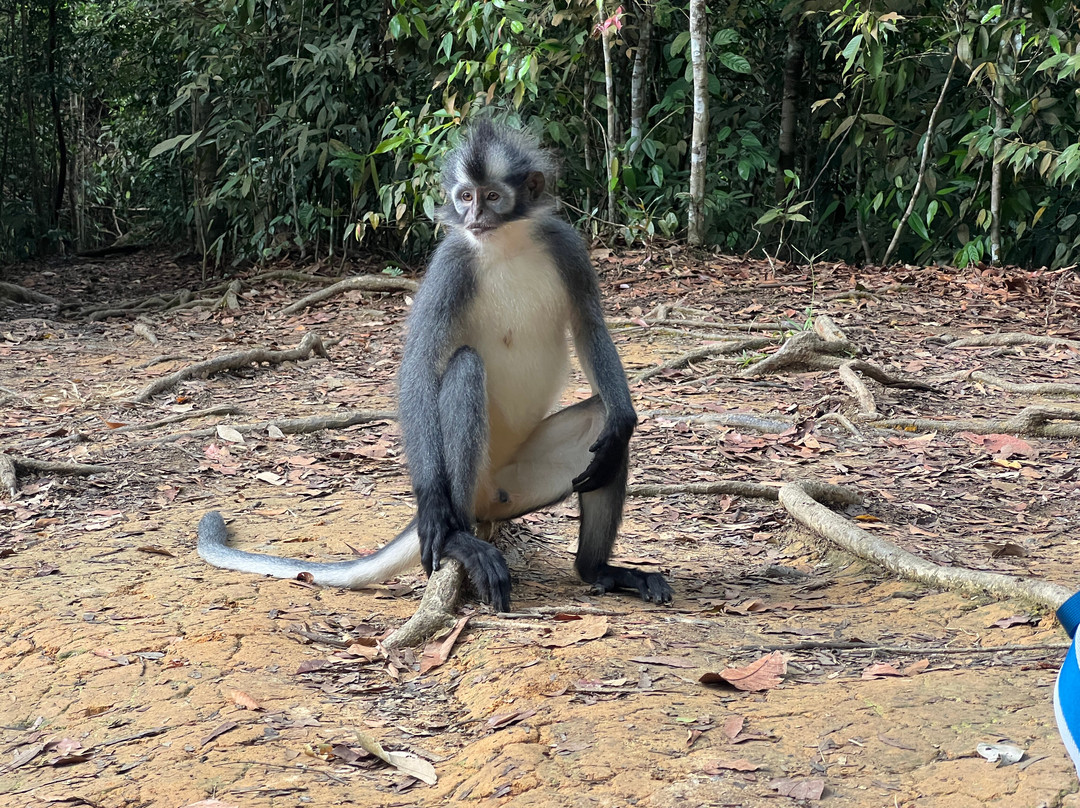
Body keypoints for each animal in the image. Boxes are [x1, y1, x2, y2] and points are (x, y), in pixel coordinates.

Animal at [198, 121, 673, 612]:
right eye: (465, 196)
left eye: (492, 196)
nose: (474, 216)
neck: (505, 243)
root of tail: (486, 502)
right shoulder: (450, 263)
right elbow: (421, 366)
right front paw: (430, 509)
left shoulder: (566, 245)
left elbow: (589, 327)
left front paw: (624, 418)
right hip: (471, 486)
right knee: (465, 369)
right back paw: (455, 538)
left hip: (519, 481)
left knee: (604, 427)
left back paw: (598, 568)